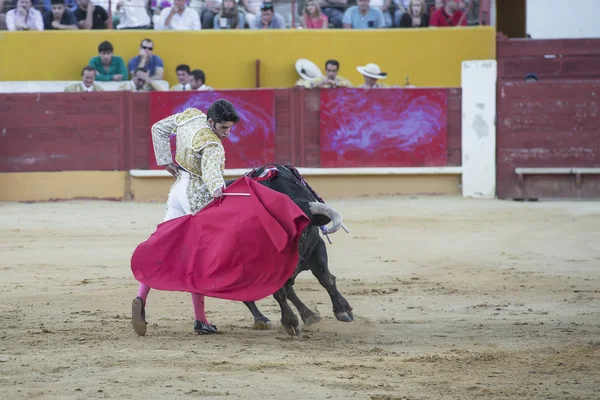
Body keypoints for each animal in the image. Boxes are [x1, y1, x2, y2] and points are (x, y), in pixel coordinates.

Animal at [227, 164, 354, 336]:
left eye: (305, 231)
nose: (291, 268)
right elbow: (279, 292)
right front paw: (290, 322)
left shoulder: (317, 246)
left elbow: (325, 278)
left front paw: (342, 309)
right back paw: (262, 320)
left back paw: (310, 315)